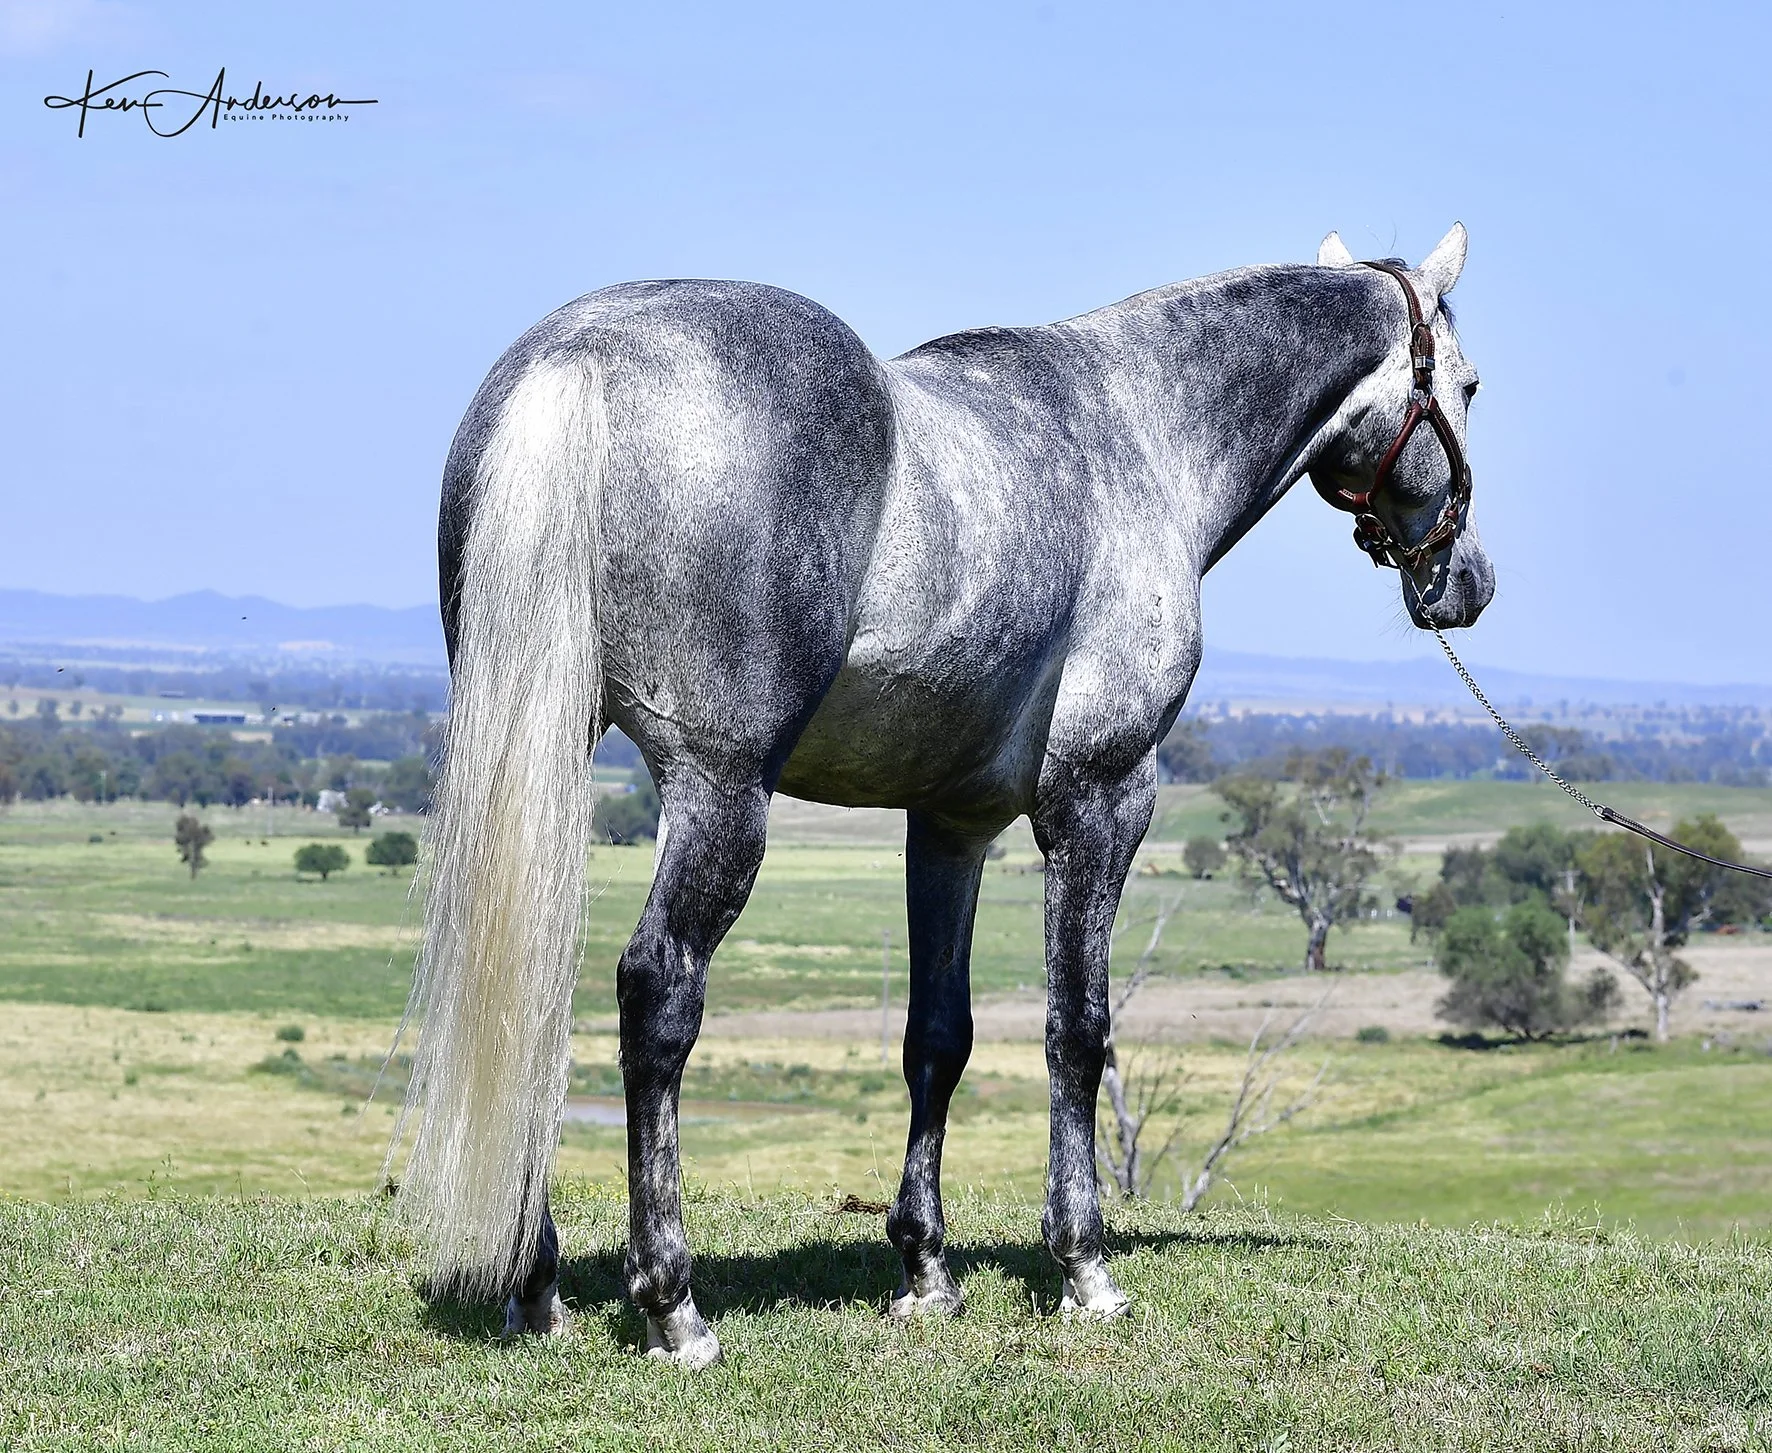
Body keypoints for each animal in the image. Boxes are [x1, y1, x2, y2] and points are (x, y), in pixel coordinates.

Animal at [391, 224, 1492, 1367]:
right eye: (1467, 386)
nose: (1465, 581)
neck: (1136, 431)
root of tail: (581, 356)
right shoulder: (1100, 802)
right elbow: (1077, 1029)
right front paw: (1084, 1267)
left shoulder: (950, 825)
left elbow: (939, 1036)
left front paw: (924, 1268)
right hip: (719, 792)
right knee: (658, 990)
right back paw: (672, 1305)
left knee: (530, 989)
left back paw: (538, 1286)